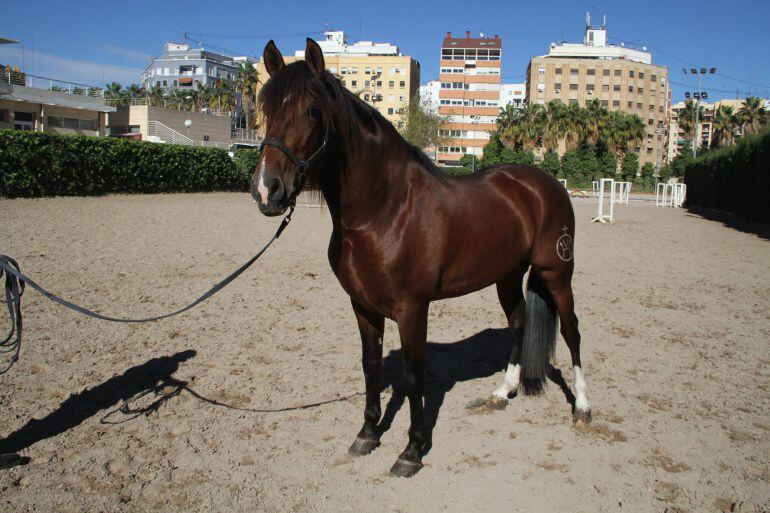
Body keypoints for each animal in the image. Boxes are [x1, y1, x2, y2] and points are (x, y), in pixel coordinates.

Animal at [251, 38, 591, 477]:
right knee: (519, 324)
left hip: (556, 272)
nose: (267, 190)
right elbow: (371, 367)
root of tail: (546, 184)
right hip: (507, 275)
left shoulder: (413, 309)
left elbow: (414, 376)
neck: (384, 210)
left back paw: (582, 407)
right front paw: (367, 435)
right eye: (266, 109)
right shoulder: (362, 306)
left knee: (572, 331)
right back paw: (501, 393)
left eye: (312, 110)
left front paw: (411, 451)